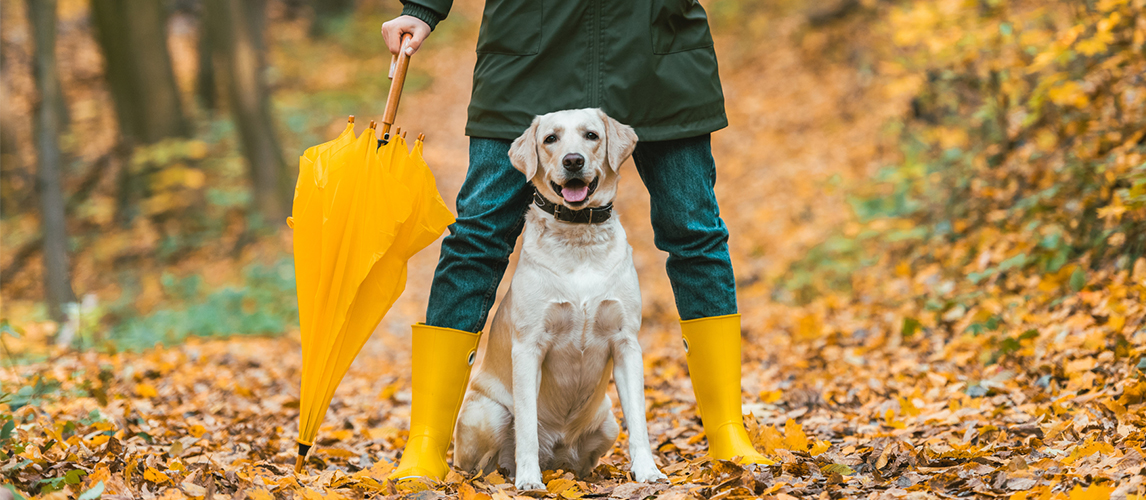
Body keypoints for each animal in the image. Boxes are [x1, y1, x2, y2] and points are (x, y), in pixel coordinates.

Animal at [451, 108, 669, 488]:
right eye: (550, 139)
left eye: (591, 135)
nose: (573, 160)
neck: (578, 234)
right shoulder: (528, 347)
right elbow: (526, 424)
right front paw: (529, 480)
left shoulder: (626, 343)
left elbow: (639, 421)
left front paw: (647, 470)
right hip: (488, 413)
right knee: (482, 465)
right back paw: (507, 475)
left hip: (607, 423)